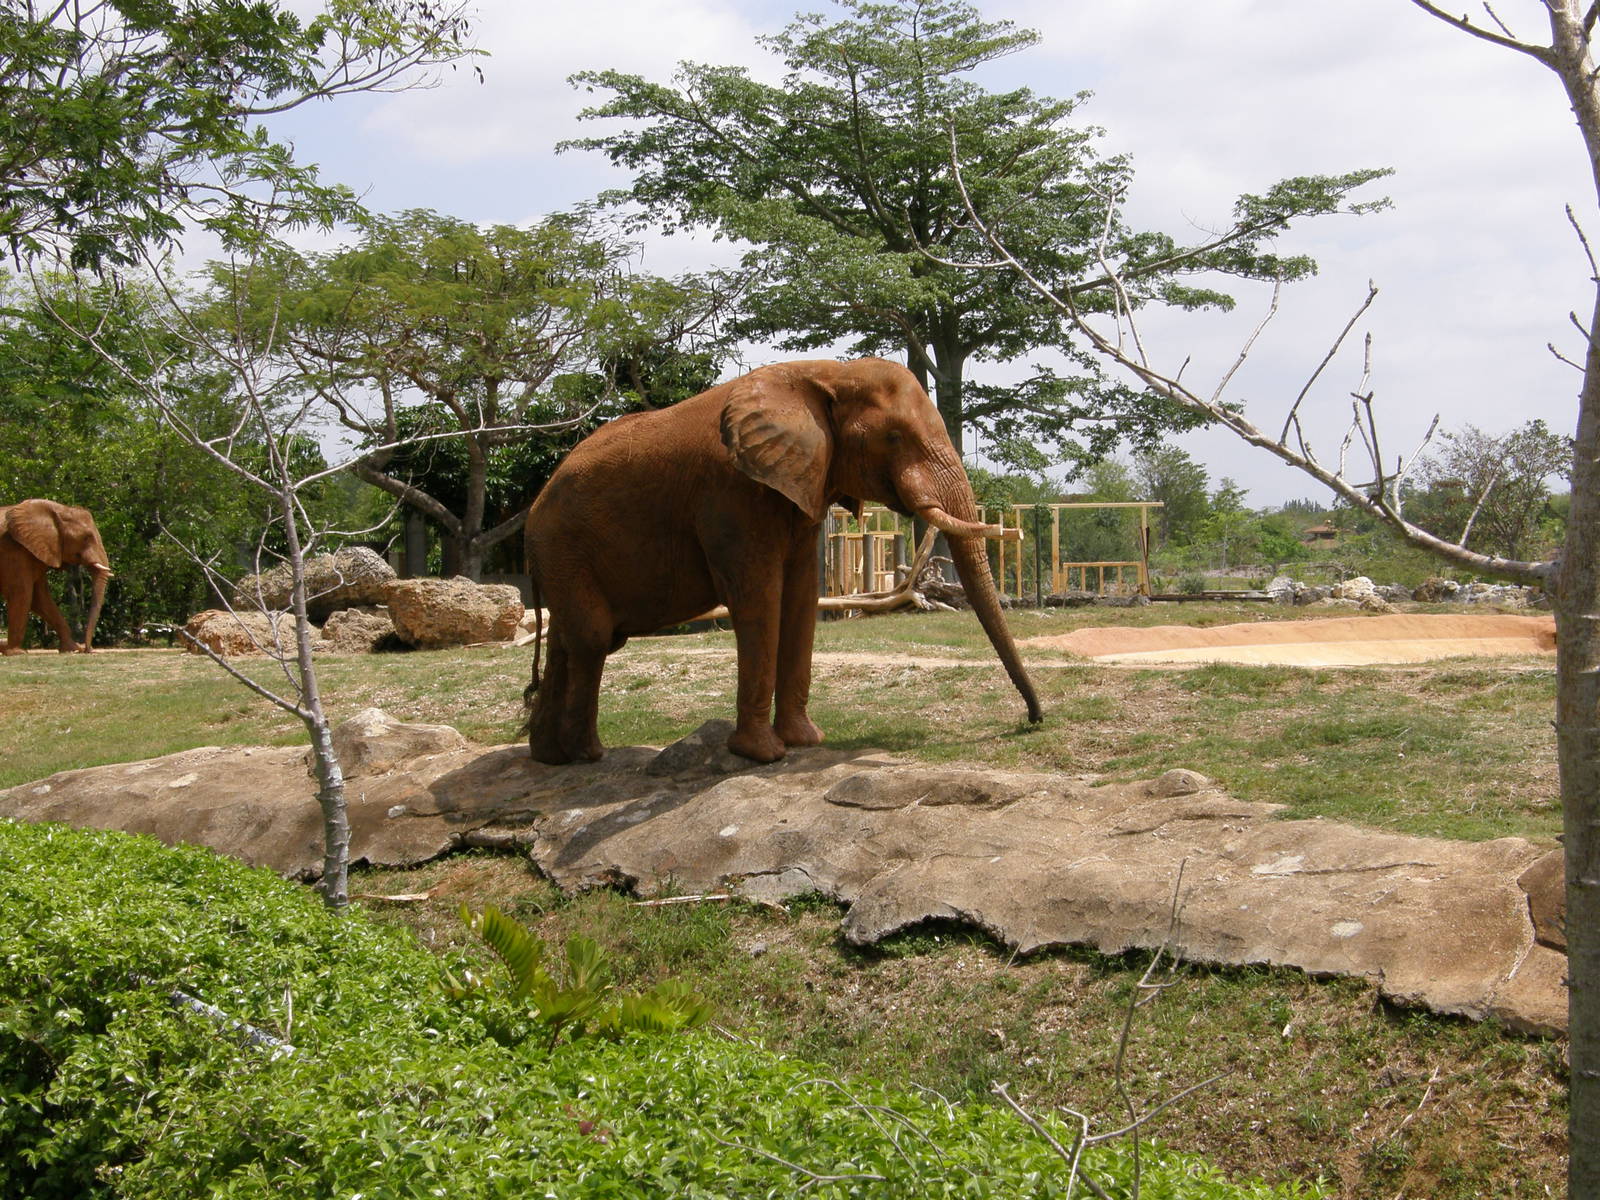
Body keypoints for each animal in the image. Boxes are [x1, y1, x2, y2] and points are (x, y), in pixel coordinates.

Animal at [0, 499, 113, 655]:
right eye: (87, 537)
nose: (88, 649)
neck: (59, 510)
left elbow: (39, 599)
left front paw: (72, 649)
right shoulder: (14, 550)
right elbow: (21, 594)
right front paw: (16, 653)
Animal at [523, 357, 1042, 765]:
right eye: (894, 437)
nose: (1034, 720)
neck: (828, 374)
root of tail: (533, 509)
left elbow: (801, 594)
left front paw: (805, 741)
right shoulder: (731, 492)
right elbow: (760, 595)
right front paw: (763, 755)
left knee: (573, 638)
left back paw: (551, 758)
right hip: (563, 545)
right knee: (592, 638)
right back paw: (587, 754)